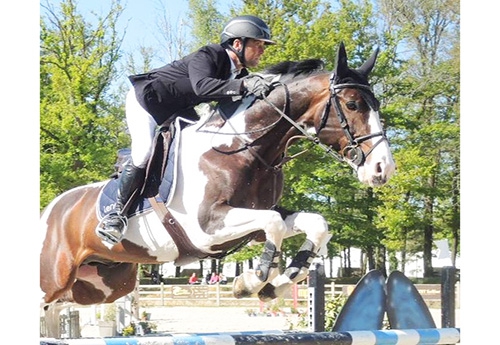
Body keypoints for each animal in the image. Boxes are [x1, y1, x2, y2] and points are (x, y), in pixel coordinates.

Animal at [40, 43, 394, 336]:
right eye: (352, 104)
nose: (383, 169)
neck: (243, 148)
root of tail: (50, 210)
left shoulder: (254, 223)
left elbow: (315, 224)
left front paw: (274, 284)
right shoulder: (207, 227)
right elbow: (274, 225)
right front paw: (252, 280)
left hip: (107, 284)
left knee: (63, 306)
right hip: (52, 279)